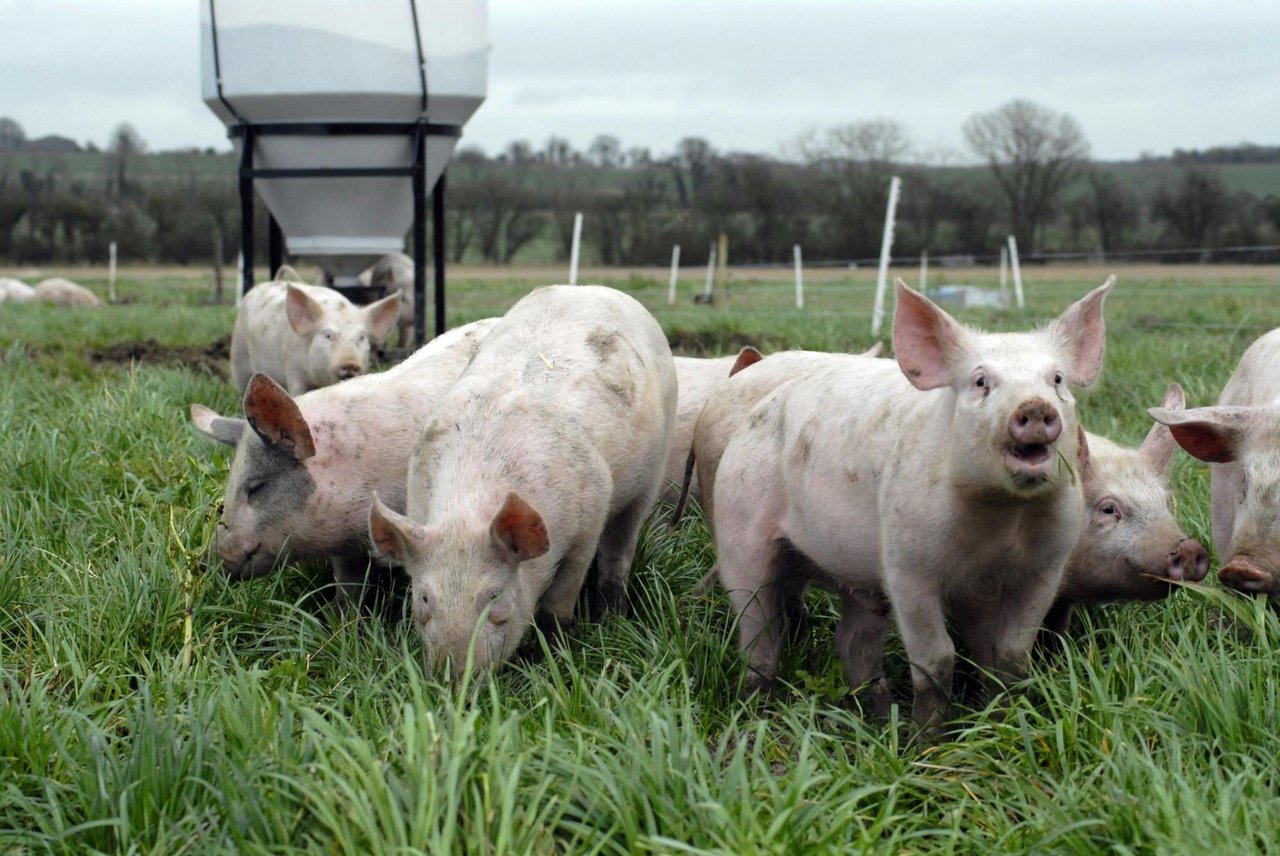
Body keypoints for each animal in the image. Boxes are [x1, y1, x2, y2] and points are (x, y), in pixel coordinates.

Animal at [368, 286, 680, 675]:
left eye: (493, 597)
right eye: (424, 597)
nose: (452, 679)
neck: (469, 506)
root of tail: (594, 288)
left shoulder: (587, 522)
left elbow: (560, 601)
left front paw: (549, 654)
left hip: (653, 468)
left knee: (620, 549)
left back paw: (611, 616)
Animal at [711, 277, 1111, 731]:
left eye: (1057, 379)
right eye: (980, 382)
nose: (1035, 406)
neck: (1003, 520)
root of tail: (754, 415)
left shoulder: (1045, 568)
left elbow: (1010, 655)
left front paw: (1002, 719)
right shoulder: (907, 566)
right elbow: (936, 659)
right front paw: (929, 738)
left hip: (857, 575)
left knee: (853, 642)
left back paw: (882, 718)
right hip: (738, 528)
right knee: (759, 627)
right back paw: (755, 710)